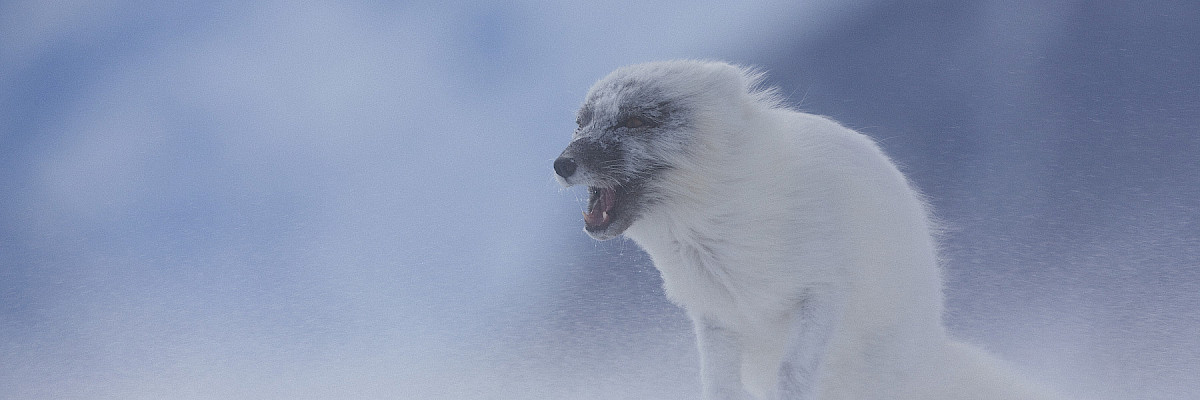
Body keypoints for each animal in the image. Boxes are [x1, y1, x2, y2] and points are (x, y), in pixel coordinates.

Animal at [549, 60, 1056, 398]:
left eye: (636, 119)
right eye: (581, 122)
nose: (560, 164)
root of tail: (932, 349)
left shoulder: (824, 291)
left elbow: (792, 372)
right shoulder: (714, 317)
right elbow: (719, 389)